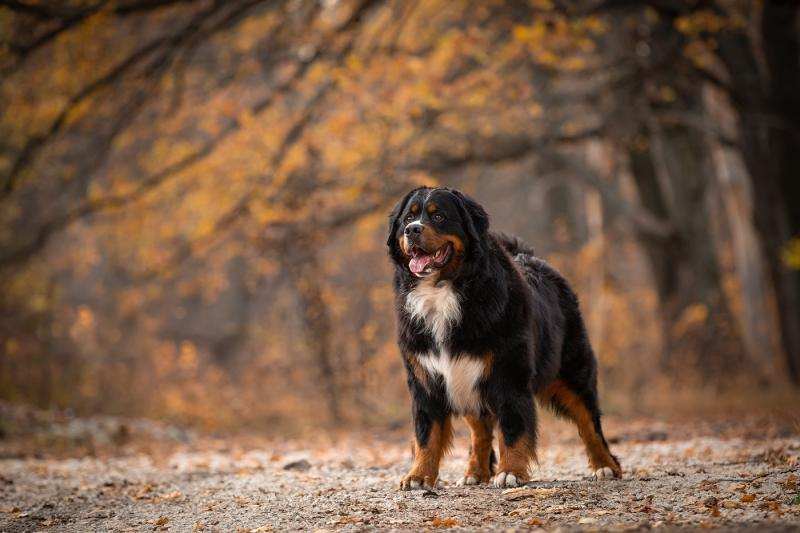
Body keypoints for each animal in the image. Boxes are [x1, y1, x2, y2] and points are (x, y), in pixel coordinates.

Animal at [384, 185, 620, 488]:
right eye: (408, 218)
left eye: (438, 217)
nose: (412, 230)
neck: (443, 291)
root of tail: (529, 257)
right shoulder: (426, 379)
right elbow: (426, 433)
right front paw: (418, 475)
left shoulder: (509, 373)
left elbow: (513, 427)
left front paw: (510, 472)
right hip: (466, 381)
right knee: (480, 431)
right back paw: (475, 473)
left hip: (572, 372)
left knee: (589, 421)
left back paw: (605, 466)